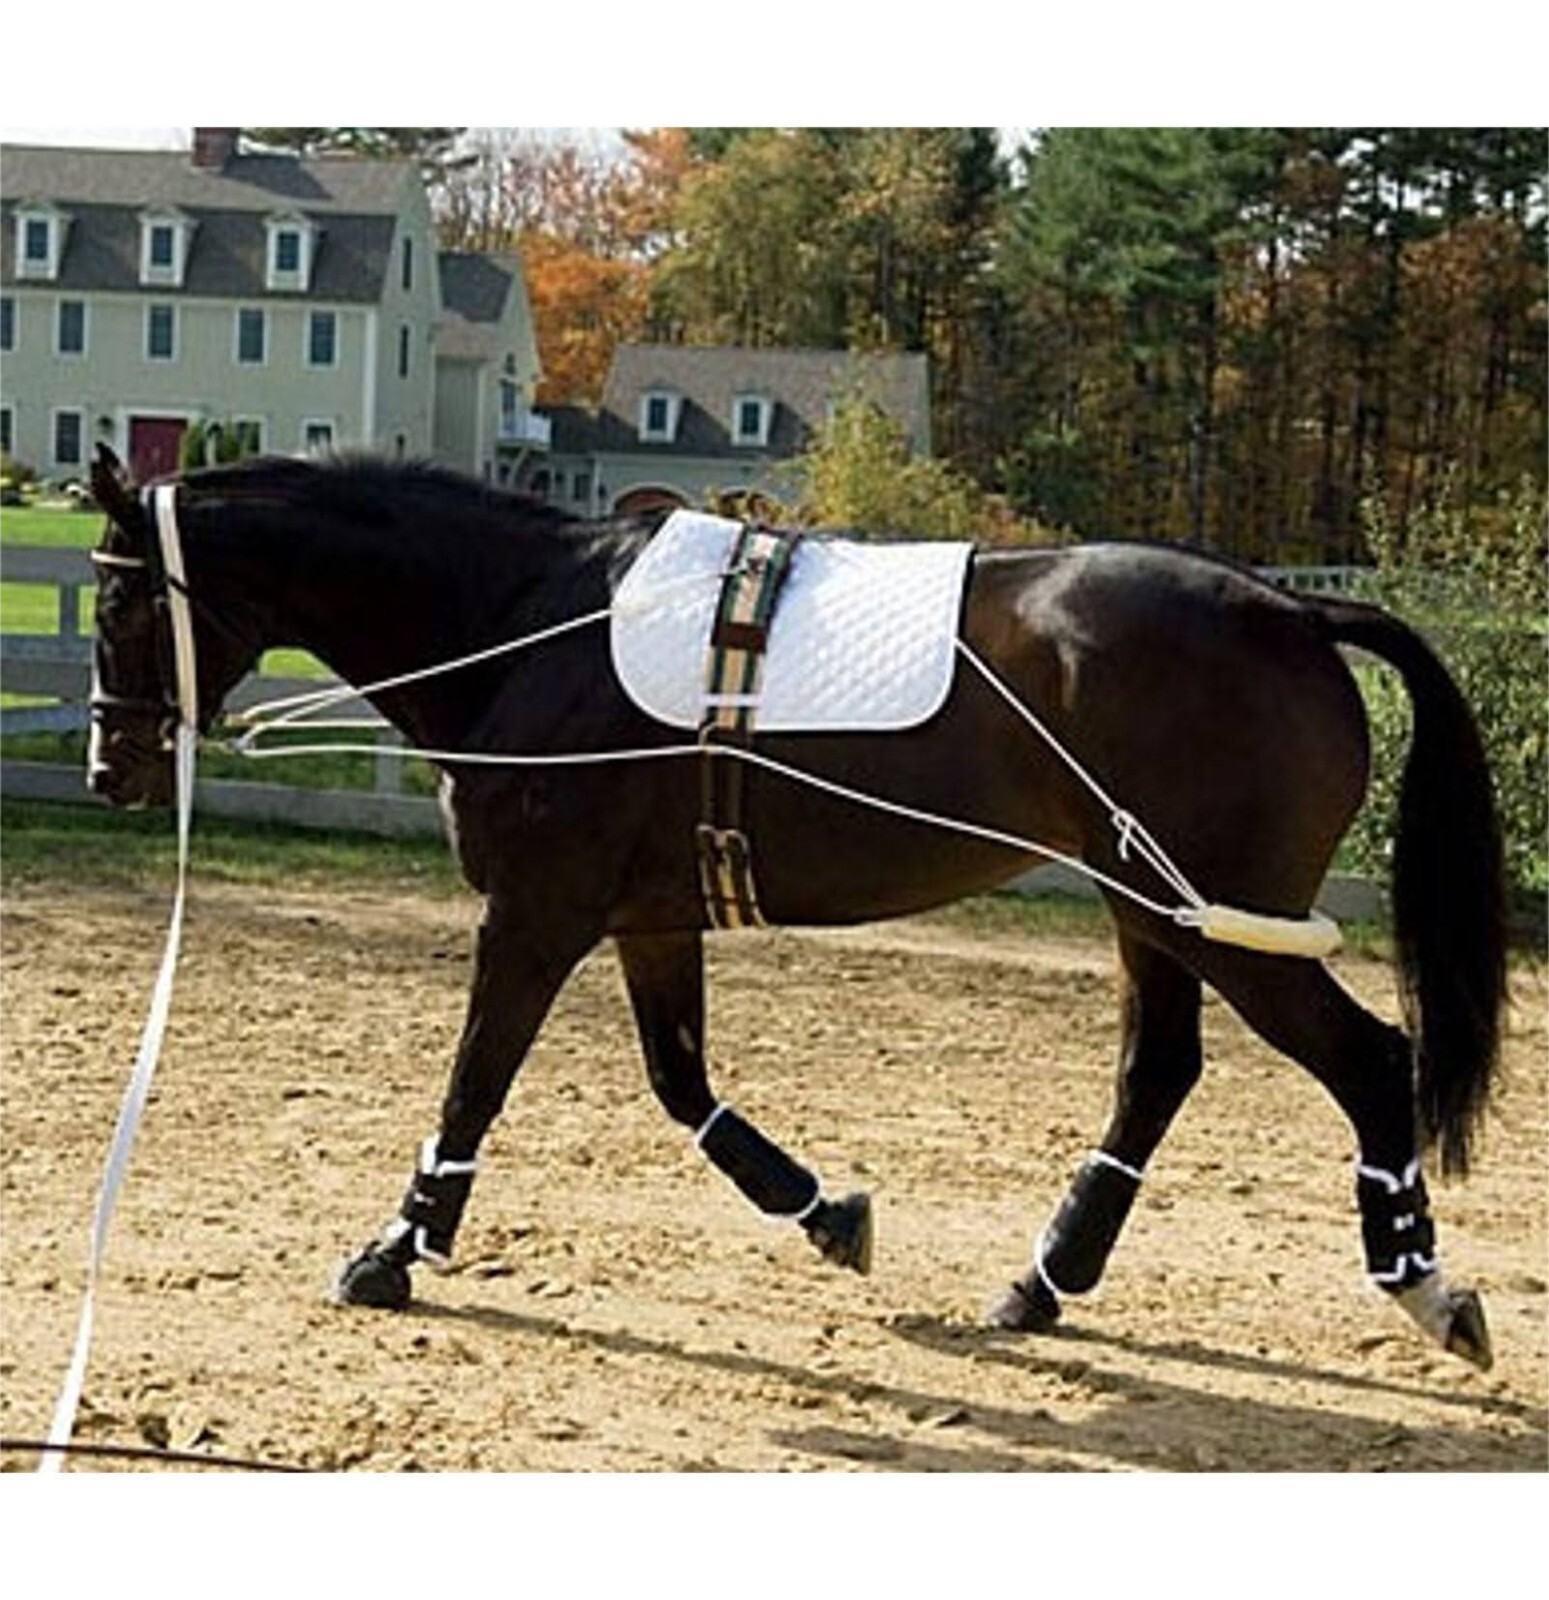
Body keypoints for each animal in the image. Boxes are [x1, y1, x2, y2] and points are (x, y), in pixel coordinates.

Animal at [82, 444, 1505, 1370]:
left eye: (117, 596)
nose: (112, 770)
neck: (529, 626)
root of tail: (1292, 604)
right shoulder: (648, 917)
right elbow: (680, 1083)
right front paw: (826, 1212)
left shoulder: (537, 912)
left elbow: (474, 1082)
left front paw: (395, 1249)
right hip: (1149, 911)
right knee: (1160, 1070)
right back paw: (1042, 1282)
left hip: (1215, 921)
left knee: (1367, 1057)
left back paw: (1425, 1286)